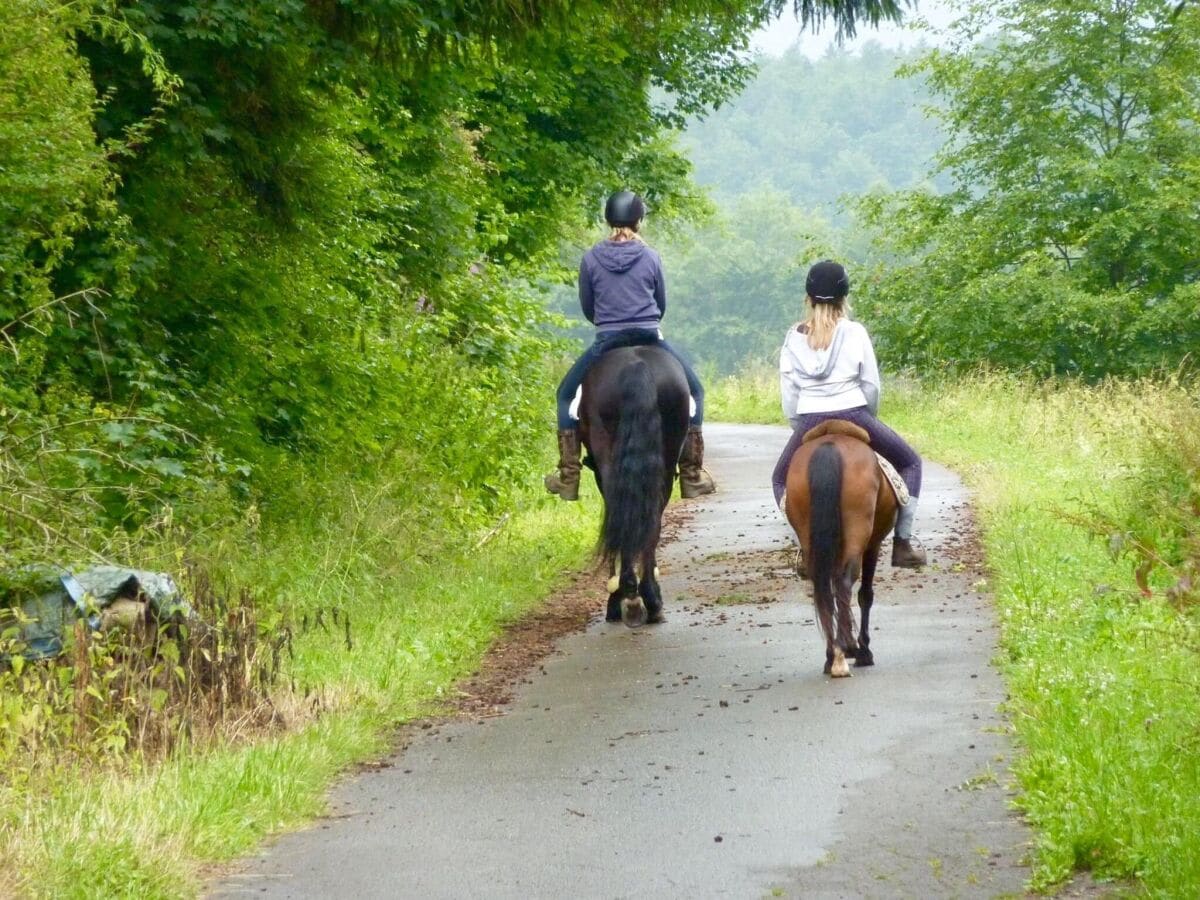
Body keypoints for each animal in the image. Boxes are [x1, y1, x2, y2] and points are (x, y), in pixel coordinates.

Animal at [782, 422, 897, 676]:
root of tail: (830, 445)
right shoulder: (873, 545)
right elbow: (865, 595)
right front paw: (864, 650)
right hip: (857, 532)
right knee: (845, 582)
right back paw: (848, 650)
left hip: (810, 534)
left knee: (821, 586)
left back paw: (831, 655)